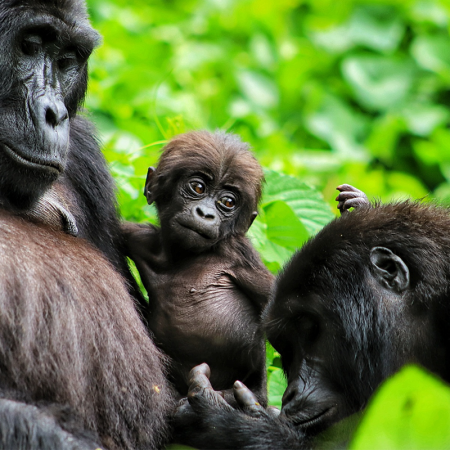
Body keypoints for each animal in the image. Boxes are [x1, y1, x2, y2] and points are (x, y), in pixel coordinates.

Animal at [121, 130, 272, 404]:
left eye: (228, 202)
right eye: (198, 187)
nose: (206, 213)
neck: (183, 257)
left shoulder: (239, 255)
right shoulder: (141, 238)